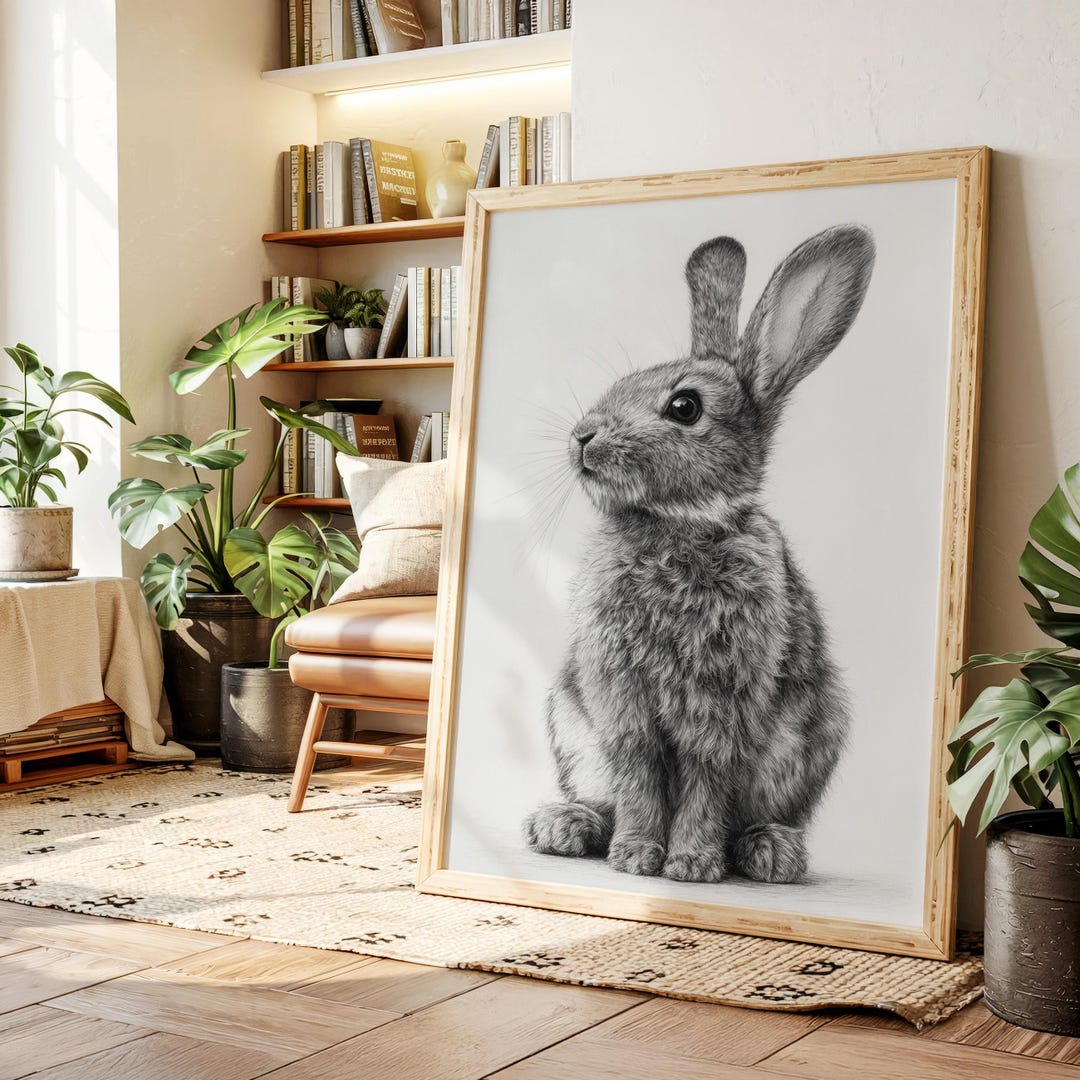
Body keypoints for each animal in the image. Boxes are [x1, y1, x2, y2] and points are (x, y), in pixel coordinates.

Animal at [523, 224, 875, 885]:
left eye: (684, 407)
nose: (583, 436)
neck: (676, 525)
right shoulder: (621, 696)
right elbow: (638, 772)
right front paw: (637, 858)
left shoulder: (723, 702)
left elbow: (706, 778)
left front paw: (689, 864)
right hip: (571, 724)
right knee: (602, 797)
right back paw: (565, 826)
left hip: (811, 739)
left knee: (756, 816)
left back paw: (769, 852)